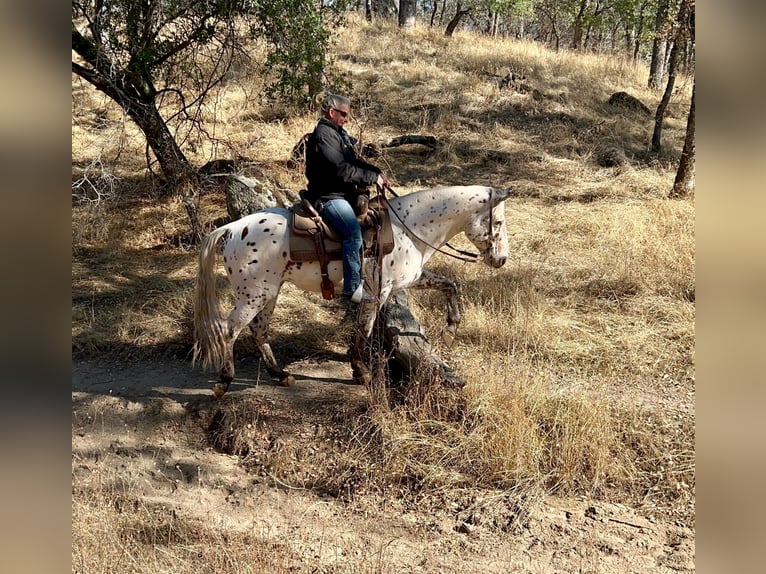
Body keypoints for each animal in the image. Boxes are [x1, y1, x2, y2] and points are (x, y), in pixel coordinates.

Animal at [195, 187, 512, 398]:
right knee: (229, 330)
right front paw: (362, 372)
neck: (409, 228)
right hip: (252, 295)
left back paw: (281, 375)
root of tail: (231, 228)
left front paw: (450, 330)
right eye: (497, 222)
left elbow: (450, 285)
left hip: (268, 293)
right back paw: (224, 381)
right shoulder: (378, 292)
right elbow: (364, 330)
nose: (502, 259)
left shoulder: (410, 280)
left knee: (259, 331)